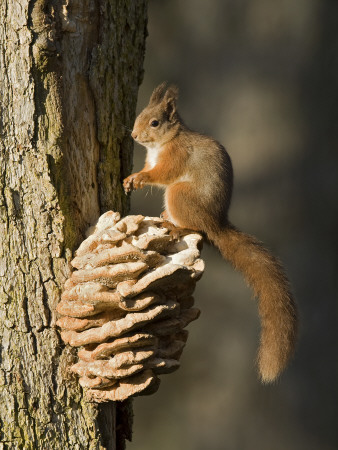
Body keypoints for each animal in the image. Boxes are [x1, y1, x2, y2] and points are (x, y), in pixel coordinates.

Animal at [123, 81, 296, 384]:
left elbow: (161, 174)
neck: (164, 143)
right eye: (140, 115)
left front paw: (141, 178)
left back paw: (174, 224)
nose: (134, 135)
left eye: (155, 122)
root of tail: (215, 223)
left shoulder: (176, 157)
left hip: (180, 195)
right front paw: (131, 178)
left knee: (193, 226)